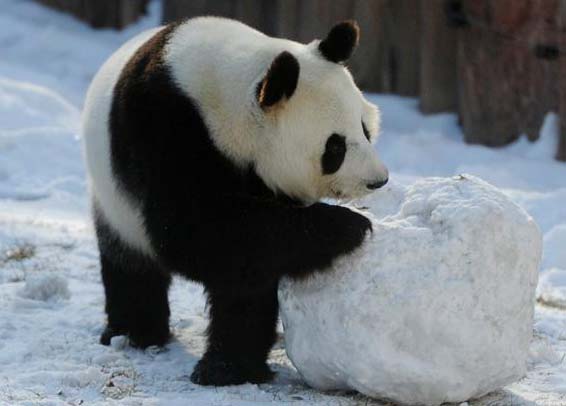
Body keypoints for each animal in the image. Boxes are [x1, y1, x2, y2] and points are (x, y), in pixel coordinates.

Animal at [82, 17, 388, 386]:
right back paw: (137, 334)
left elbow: (253, 255)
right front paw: (349, 225)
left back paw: (228, 368)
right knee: (130, 265)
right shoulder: (163, 131)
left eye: (365, 129)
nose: (378, 179)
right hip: (114, 201)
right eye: (335, 147)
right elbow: (197, 232)